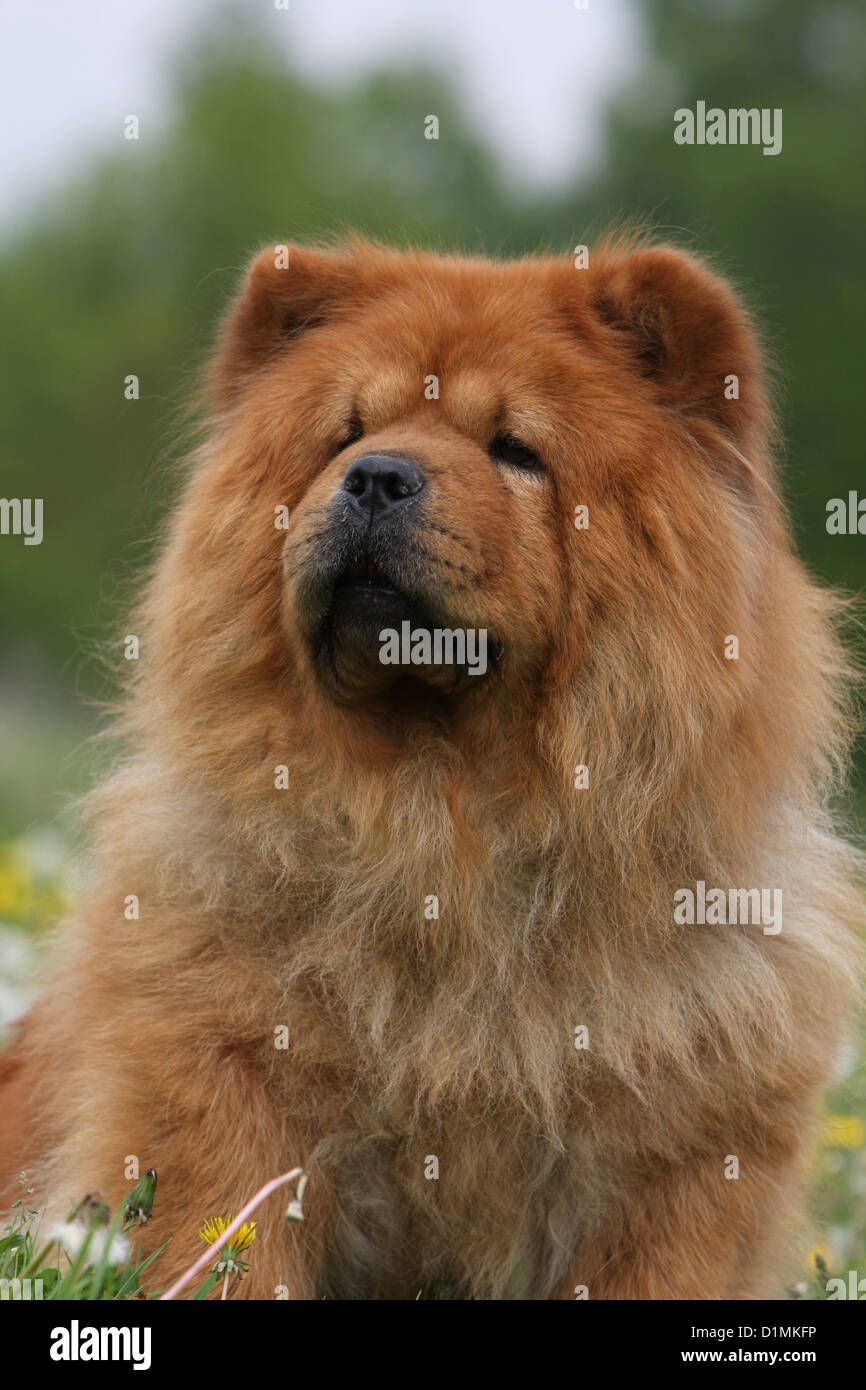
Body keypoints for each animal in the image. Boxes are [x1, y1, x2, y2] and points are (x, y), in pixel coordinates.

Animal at [0, 236, 861, 1289]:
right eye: (346, 434)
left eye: (516, 450)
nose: (376, 476)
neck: (444, 830)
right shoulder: (222, 1091)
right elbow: (225, 1246)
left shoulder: (678, 1172)